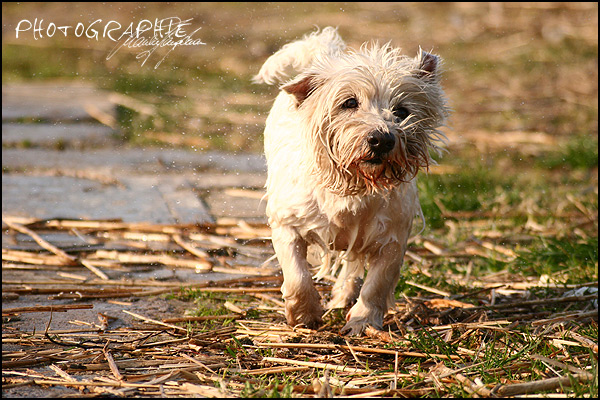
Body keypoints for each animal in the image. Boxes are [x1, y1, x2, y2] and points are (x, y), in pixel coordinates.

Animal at [255, 27, 448, 334]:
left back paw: (343, 297)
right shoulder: (288, 224)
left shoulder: (392, 237)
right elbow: (297, 275)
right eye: (349, 103)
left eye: (402, 110)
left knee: (353, 268)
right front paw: (304, 315)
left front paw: (363, 321)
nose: (382, 139)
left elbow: (377, 284)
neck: (353, 185)